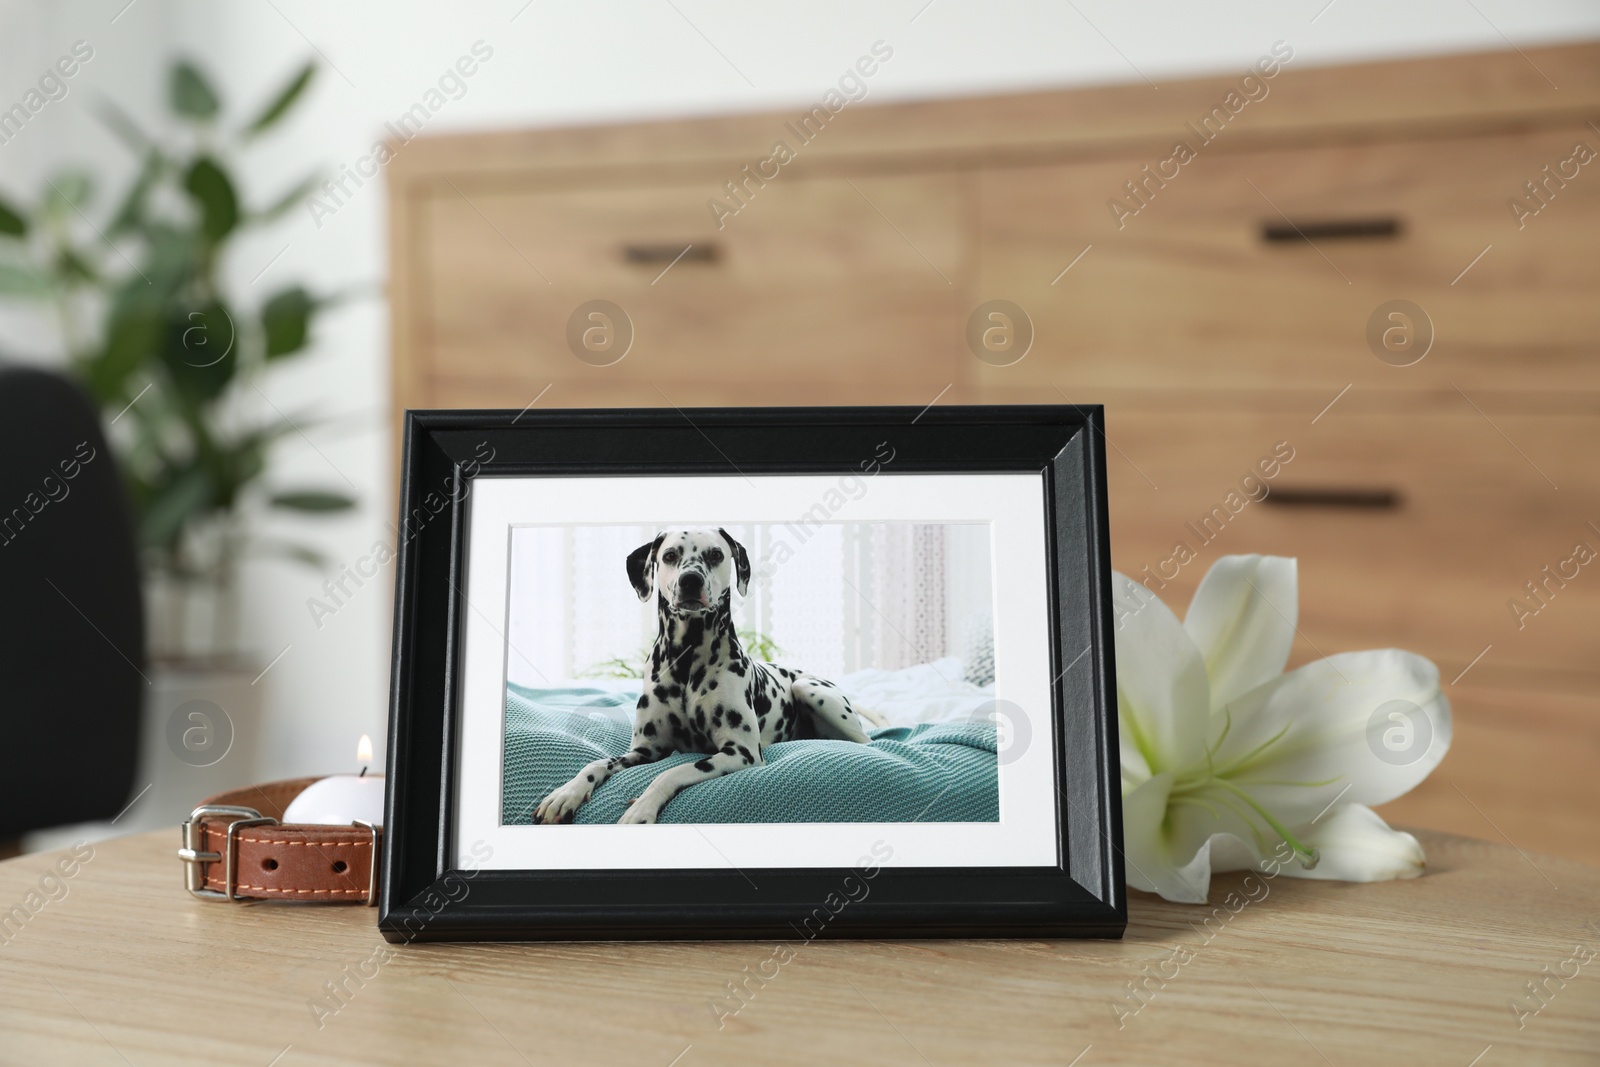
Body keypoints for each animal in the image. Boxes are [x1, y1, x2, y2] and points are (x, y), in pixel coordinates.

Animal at [531, 527, 876, 825]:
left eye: (715, 554)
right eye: (670, 555)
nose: (690, 580)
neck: (687, 658)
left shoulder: (740, 752)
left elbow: (672, 772)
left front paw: (641, 807)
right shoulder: (646, 750)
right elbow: (598, 762)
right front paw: (566, 793)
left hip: (811, 691)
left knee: (867, 742)